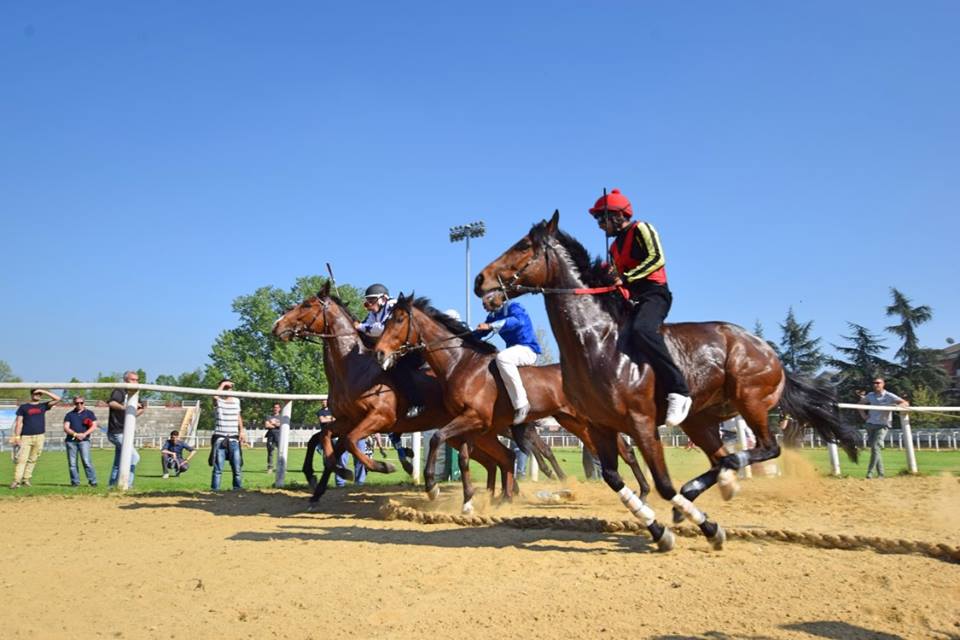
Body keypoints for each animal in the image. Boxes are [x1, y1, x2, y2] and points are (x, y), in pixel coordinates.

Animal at [270, 282, 516, 508]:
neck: (352, 368)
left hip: (478, 429)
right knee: (499, 459)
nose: (276, 326)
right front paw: (321, 482)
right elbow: (323, 437)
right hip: (467, 433)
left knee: (504, 458)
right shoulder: (347, 419)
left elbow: (346, 441)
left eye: (307, 304)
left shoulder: (379, 417)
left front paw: (383, 466)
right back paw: (497, 498)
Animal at [372, 294, 656, 516]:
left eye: (399, 320)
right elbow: (464, 458)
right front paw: (468, 500)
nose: (379, 352)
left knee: (625, 451)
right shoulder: (472, 424)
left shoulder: (473, 419)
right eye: (387, 320)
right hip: (575, 423)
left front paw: (432, 486)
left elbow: (436, 438)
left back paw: (642, 492)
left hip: (585, 422)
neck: (461, 363)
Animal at [476, 211, 860, 552]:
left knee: (763, 449)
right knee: (721, 457)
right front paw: (663, 527)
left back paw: (714, 486)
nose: (480, 279)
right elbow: (613, 478)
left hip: (750, 402)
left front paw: (699, 527)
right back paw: (713, 488)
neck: (597, 341)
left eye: (524, 245)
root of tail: (767, 350)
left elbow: (661, 483)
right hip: (699, 420)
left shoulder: (642, 423)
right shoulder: (599, 426)